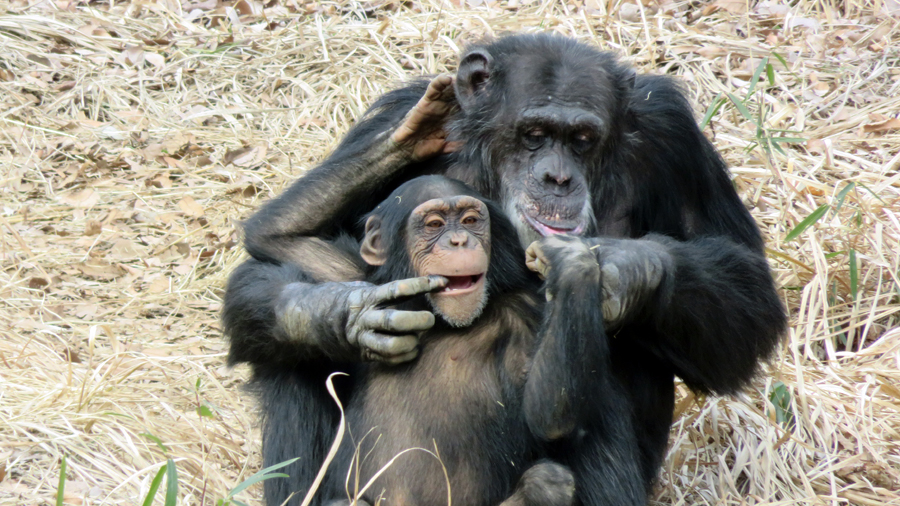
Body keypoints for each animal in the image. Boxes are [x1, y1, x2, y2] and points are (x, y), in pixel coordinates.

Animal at [324, 177, 648, 506]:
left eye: (470, 221)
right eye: (434, 224)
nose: (459, 241)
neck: (437, 320)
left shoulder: (525, 312)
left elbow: (552, 416)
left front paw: (570, 259)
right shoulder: (343, 272)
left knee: (549, 481)